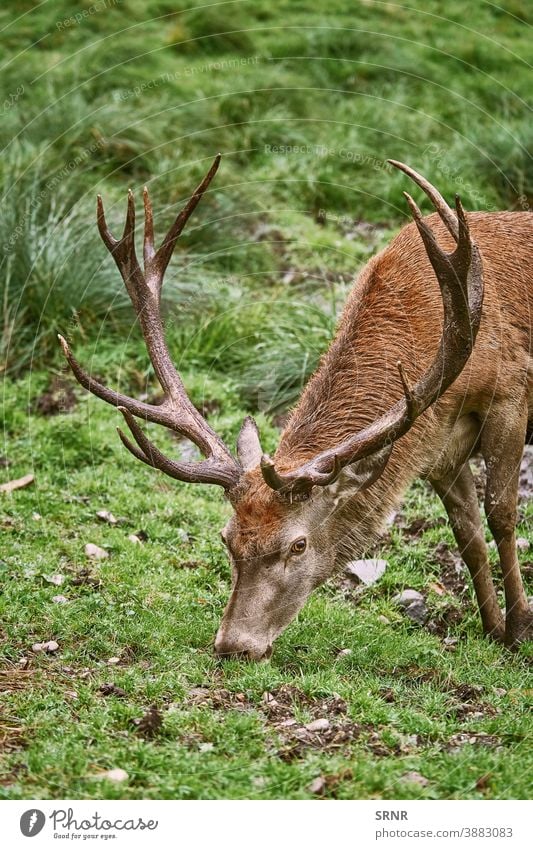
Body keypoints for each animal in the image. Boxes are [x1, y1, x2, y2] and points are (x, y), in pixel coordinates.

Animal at [59, 156, 532, 660]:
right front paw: (493, 628)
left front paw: (520, 628)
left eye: (298, 545)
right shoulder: (439, 442)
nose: (233, 645)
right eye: (227, 538)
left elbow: (502, 512)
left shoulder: (510, 392)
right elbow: (467, 531)